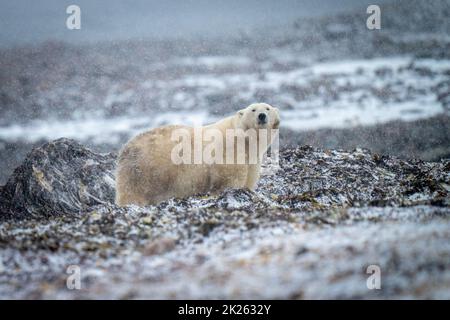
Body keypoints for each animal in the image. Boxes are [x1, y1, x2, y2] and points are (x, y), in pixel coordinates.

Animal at [114, 104, 280, 206]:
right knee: (132, 192)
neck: (244, 140)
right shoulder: (229, 151)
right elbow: (229, 179)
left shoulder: (252, 159)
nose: (262, 115)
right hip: (143, 171)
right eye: (253, 109)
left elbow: (249, 179)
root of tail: (125, 149)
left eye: (267, 108)